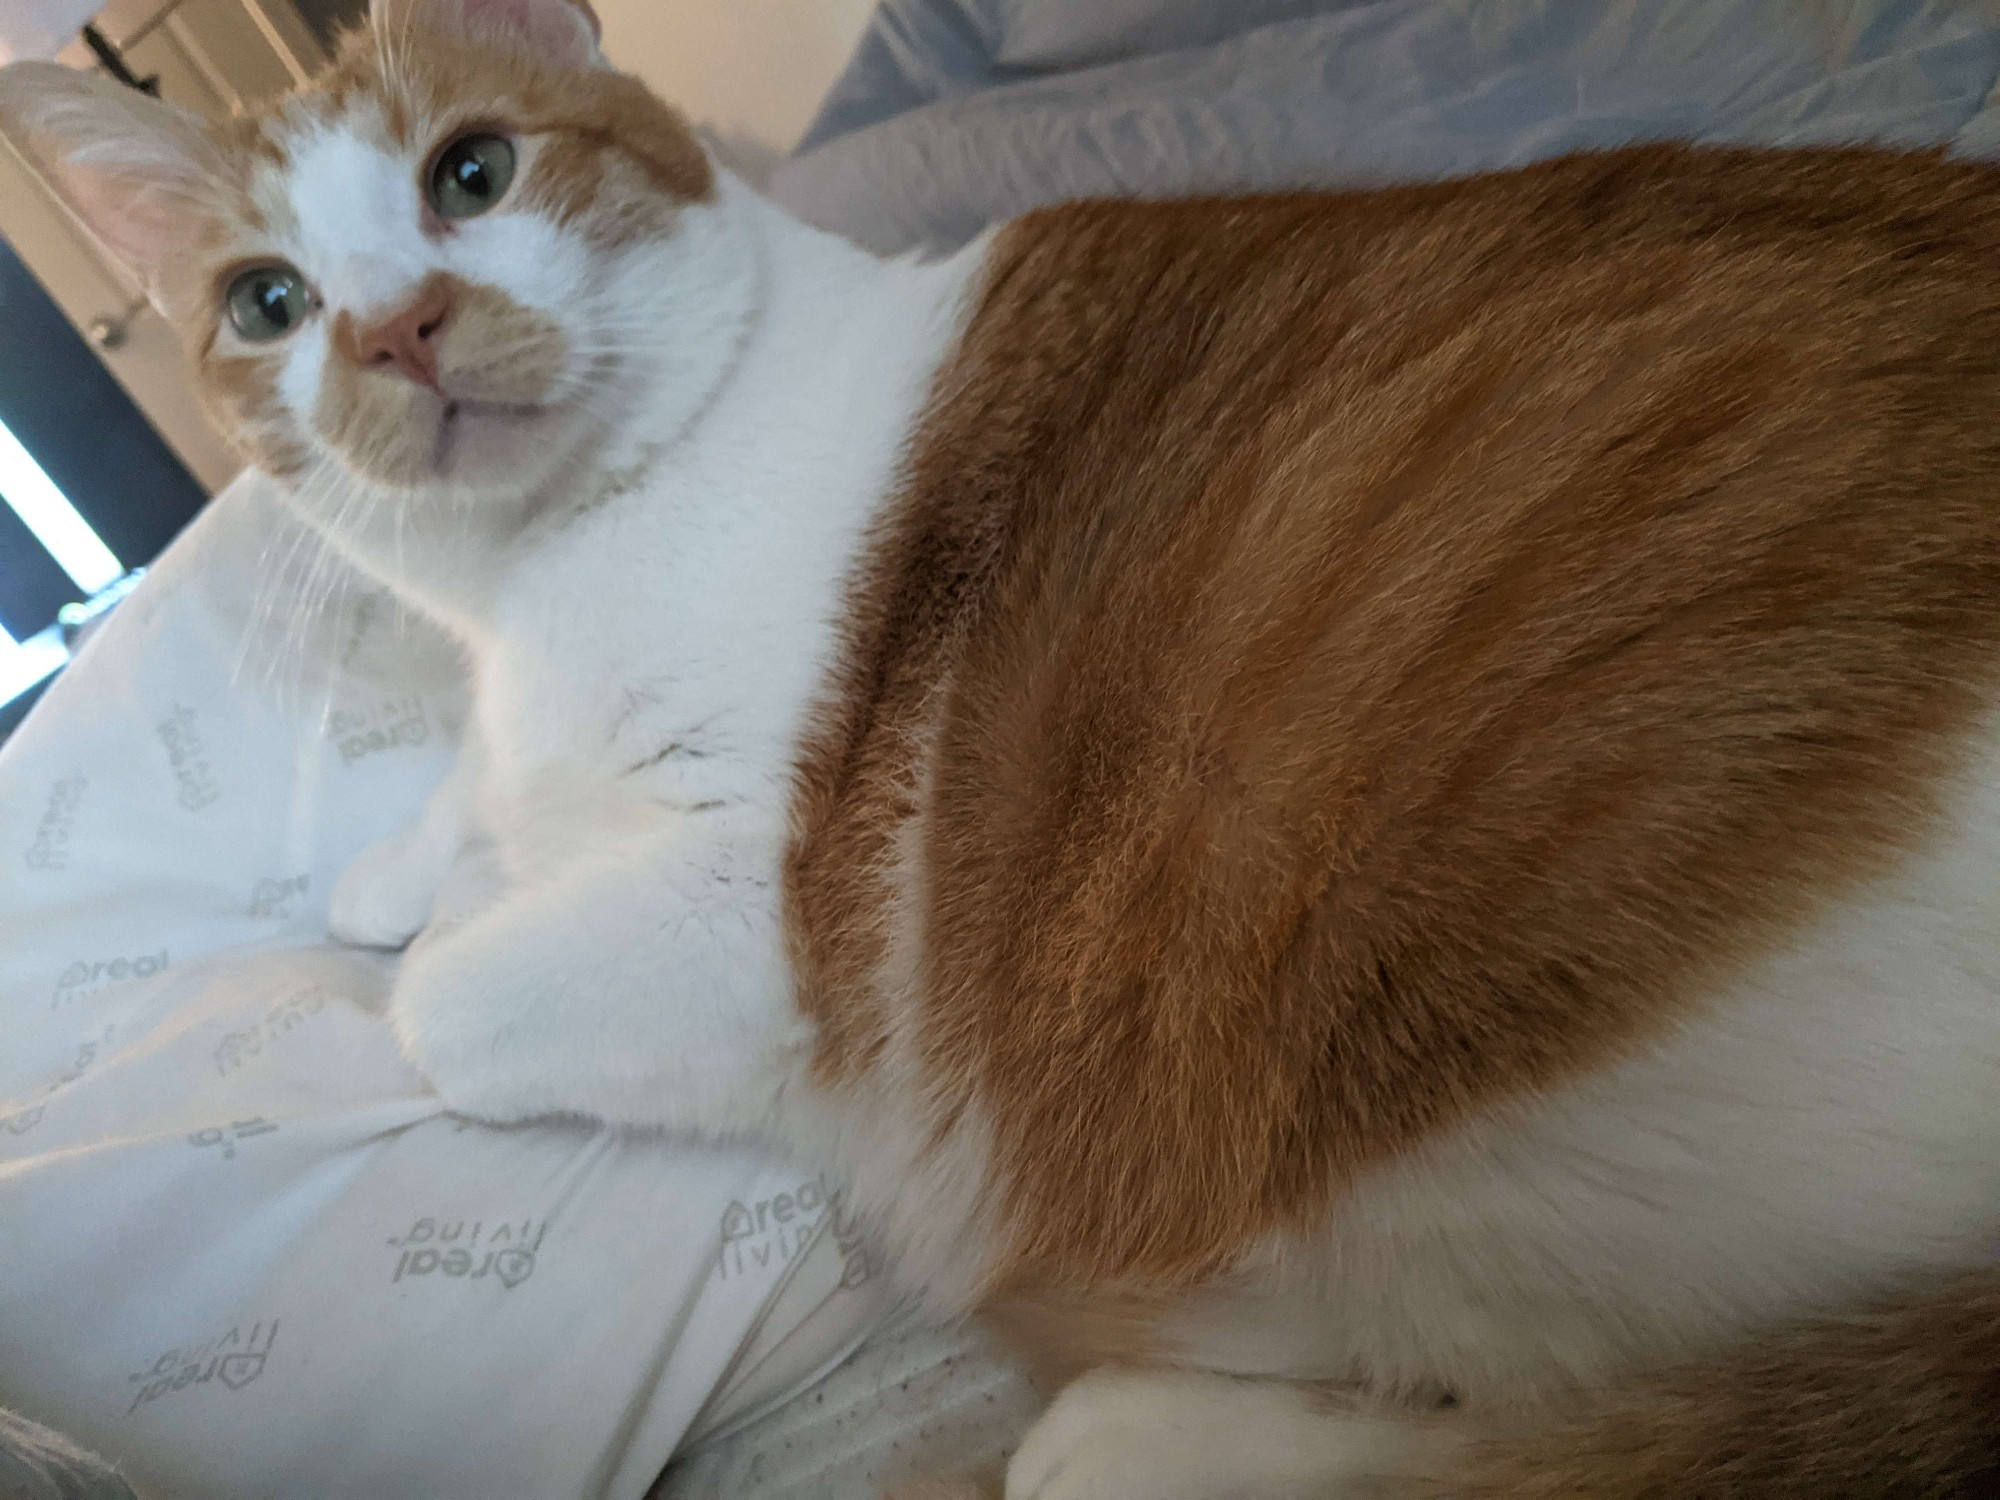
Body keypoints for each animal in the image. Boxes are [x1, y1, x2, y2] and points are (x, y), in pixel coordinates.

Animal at [3, 0, 2000, 1496]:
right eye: (268, 302)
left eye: (471, 175)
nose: (397, 331)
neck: (540, 584)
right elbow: (450, 846)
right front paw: (411, 856)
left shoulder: (753, 917)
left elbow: (451, 997)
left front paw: (459, 896)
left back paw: (1144, 1435)